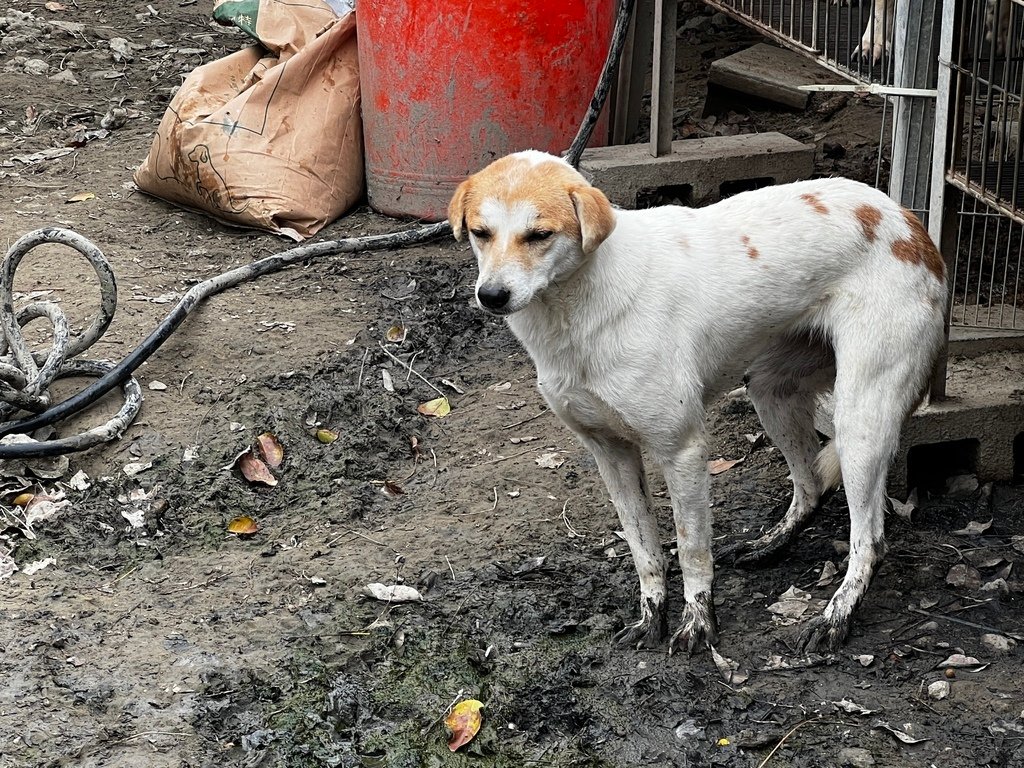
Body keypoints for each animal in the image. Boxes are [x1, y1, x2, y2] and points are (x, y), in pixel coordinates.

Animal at [452, 151, 946, 655]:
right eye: (480, 232)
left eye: (539, 235)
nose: (491, 296)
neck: (580, 307)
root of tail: (906, 221)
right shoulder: (610, 453)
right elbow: (643, 547)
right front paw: (651, 614)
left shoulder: (683, 449)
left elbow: (690, 548)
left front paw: (698, 621)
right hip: (771, 390)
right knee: (809, 487)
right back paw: (770, 544)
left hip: (859, 419)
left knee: (870, 541)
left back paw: (836, 615)